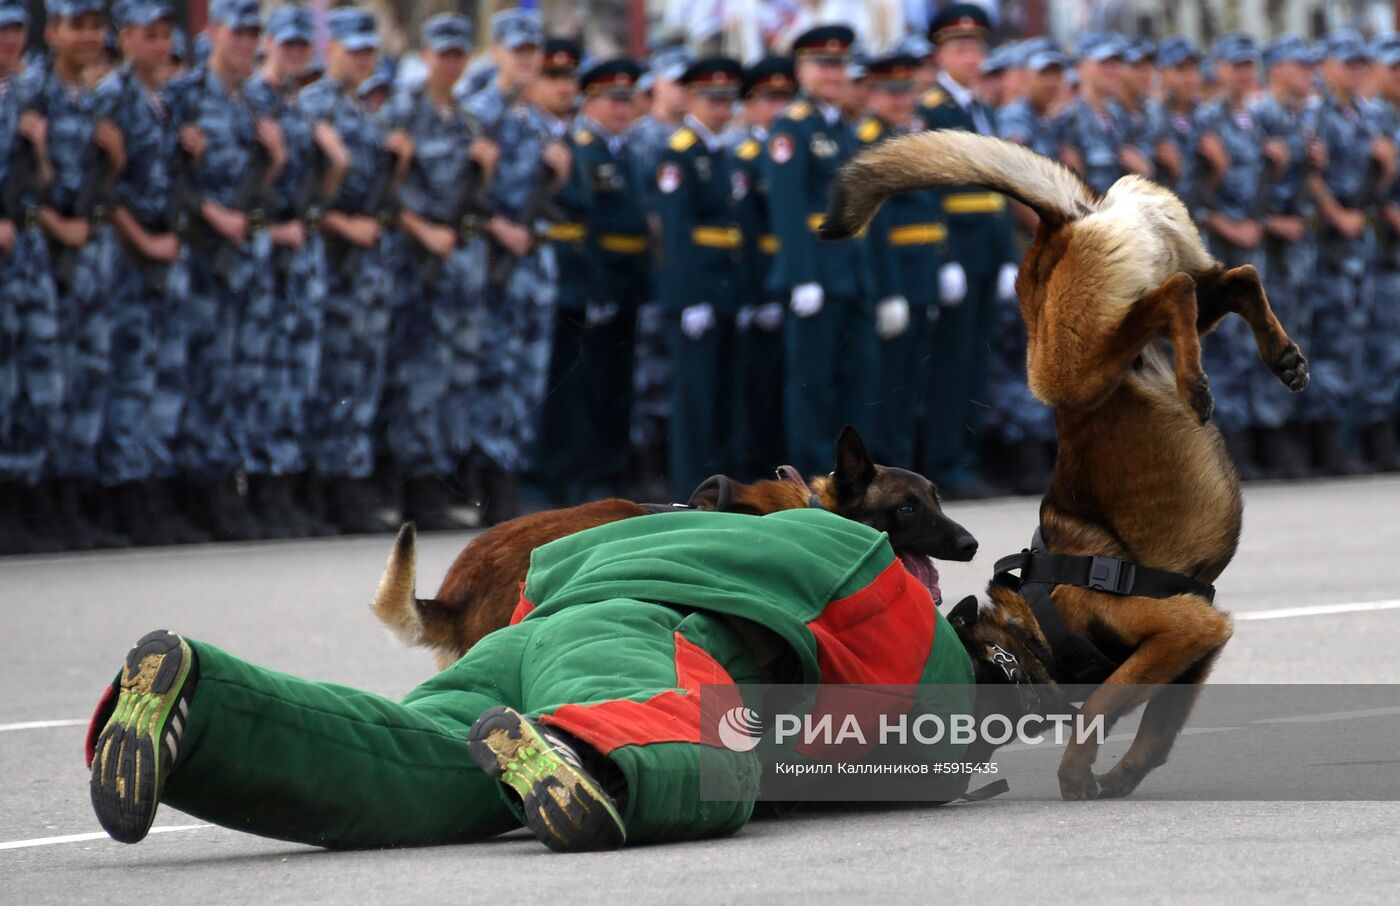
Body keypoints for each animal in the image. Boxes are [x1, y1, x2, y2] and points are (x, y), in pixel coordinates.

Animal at [817, 133, 1310, 800]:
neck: (1032, 622)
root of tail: (1057, 229)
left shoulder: (1185, 632)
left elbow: (1100, 706)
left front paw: (1077, 773)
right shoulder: (1199, 645)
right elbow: (1154, 733)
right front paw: (1121, 776)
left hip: (1063, 369)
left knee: (1178, 293)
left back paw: (1198, 383)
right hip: (1132, 311)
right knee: (1231, 280)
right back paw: (1278, 354)